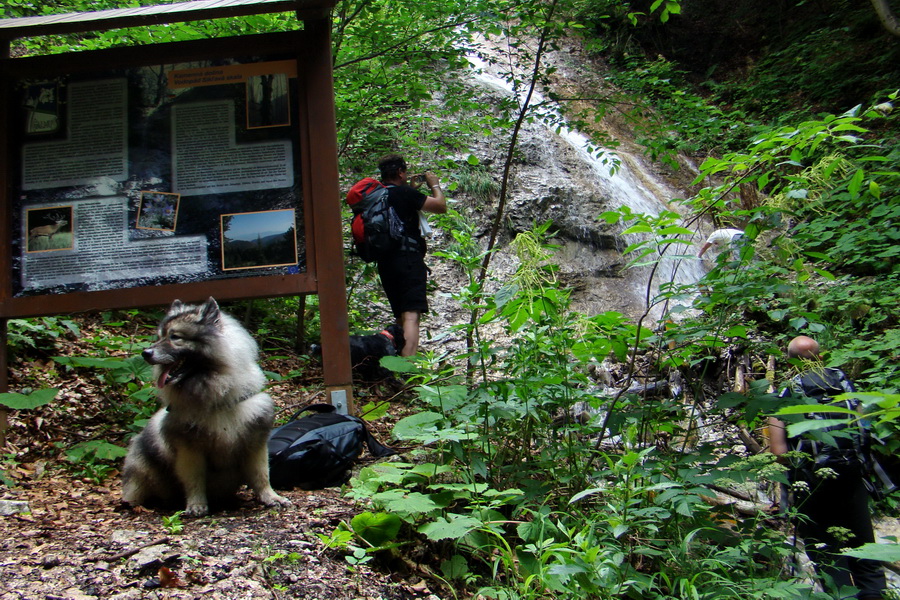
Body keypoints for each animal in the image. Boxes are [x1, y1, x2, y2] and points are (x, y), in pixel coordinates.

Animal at [121, 298, 290, 516]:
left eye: (175, 337)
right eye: (159, 337)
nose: (145, 352)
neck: (218, 396)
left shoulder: (254, 441)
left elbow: (261, 475)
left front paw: (270, 497)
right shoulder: (190, 449)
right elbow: (194, 480)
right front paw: (196, 505)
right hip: (142, 463)